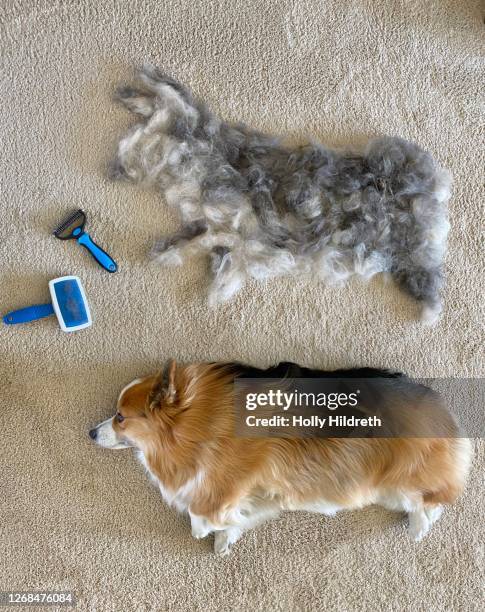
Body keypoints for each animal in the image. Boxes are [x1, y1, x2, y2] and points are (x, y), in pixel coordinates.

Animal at [88, 358, 468, 556]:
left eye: (120, 417)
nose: (91, 433)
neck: (191, 424)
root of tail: (437, 404)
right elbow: (233, 516)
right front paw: (225, 537)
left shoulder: (229, 481)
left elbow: (202, 514)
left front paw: (211, 529)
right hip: (386, 489)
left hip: (403, 475)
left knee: (433, 499)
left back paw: (419, 527)